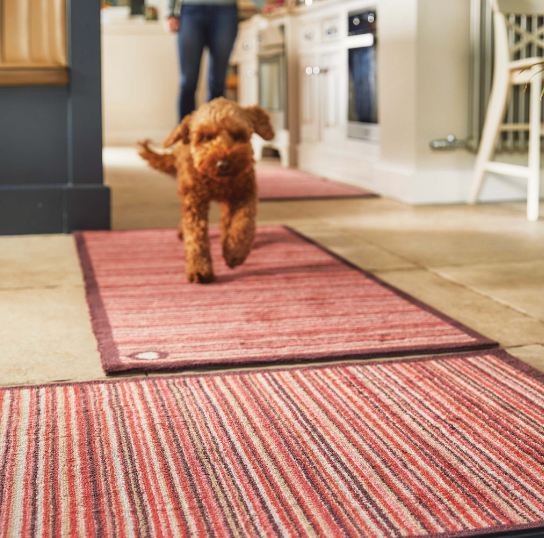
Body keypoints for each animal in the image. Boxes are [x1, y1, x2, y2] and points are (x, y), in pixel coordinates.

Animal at [138, 97, 274, 282]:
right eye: (207, 137)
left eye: (238, 135)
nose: (224, 164)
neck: (217, 181)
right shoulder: (194, 201)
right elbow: (195, 235)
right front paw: (199, 269)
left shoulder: (245, 193)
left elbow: (243, 223)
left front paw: (235, 252)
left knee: (226, 219)